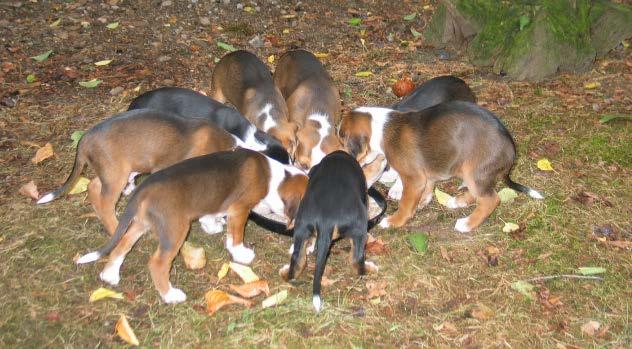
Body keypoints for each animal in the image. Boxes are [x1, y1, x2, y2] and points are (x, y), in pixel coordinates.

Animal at [36, 109, 242, 235]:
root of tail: (85, 137)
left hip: (114, 172)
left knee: (93, 187)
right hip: (115, 176)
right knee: (105, 203)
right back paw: (116, 228)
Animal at [75, 148, 308, 304]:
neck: (276, 177)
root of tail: (144, 187)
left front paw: (213, 225)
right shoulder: (240, 209)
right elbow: (235, 236)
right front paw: (241, 254)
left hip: (141, 224)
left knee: (122, 245)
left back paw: (110, 274)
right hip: (175, 231)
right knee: (157, 263)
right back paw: (170, 295)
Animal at [278, 151, 378, 312]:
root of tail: (326, 220)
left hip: (301, 226)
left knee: (297, 260)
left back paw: (286, 273)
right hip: (359, 228)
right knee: (357, 261)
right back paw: (369, 268)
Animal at [340, 100, 544, 231]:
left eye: (342, 139)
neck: (382, 129)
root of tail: (511, 149)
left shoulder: (413, 178)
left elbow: (405, 203)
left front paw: (394, 221)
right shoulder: (424, 174)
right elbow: (427, 188)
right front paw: (422, 201)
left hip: (474, 172)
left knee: (490, 200)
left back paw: (467, 224)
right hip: (471, 172)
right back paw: (457, 201)